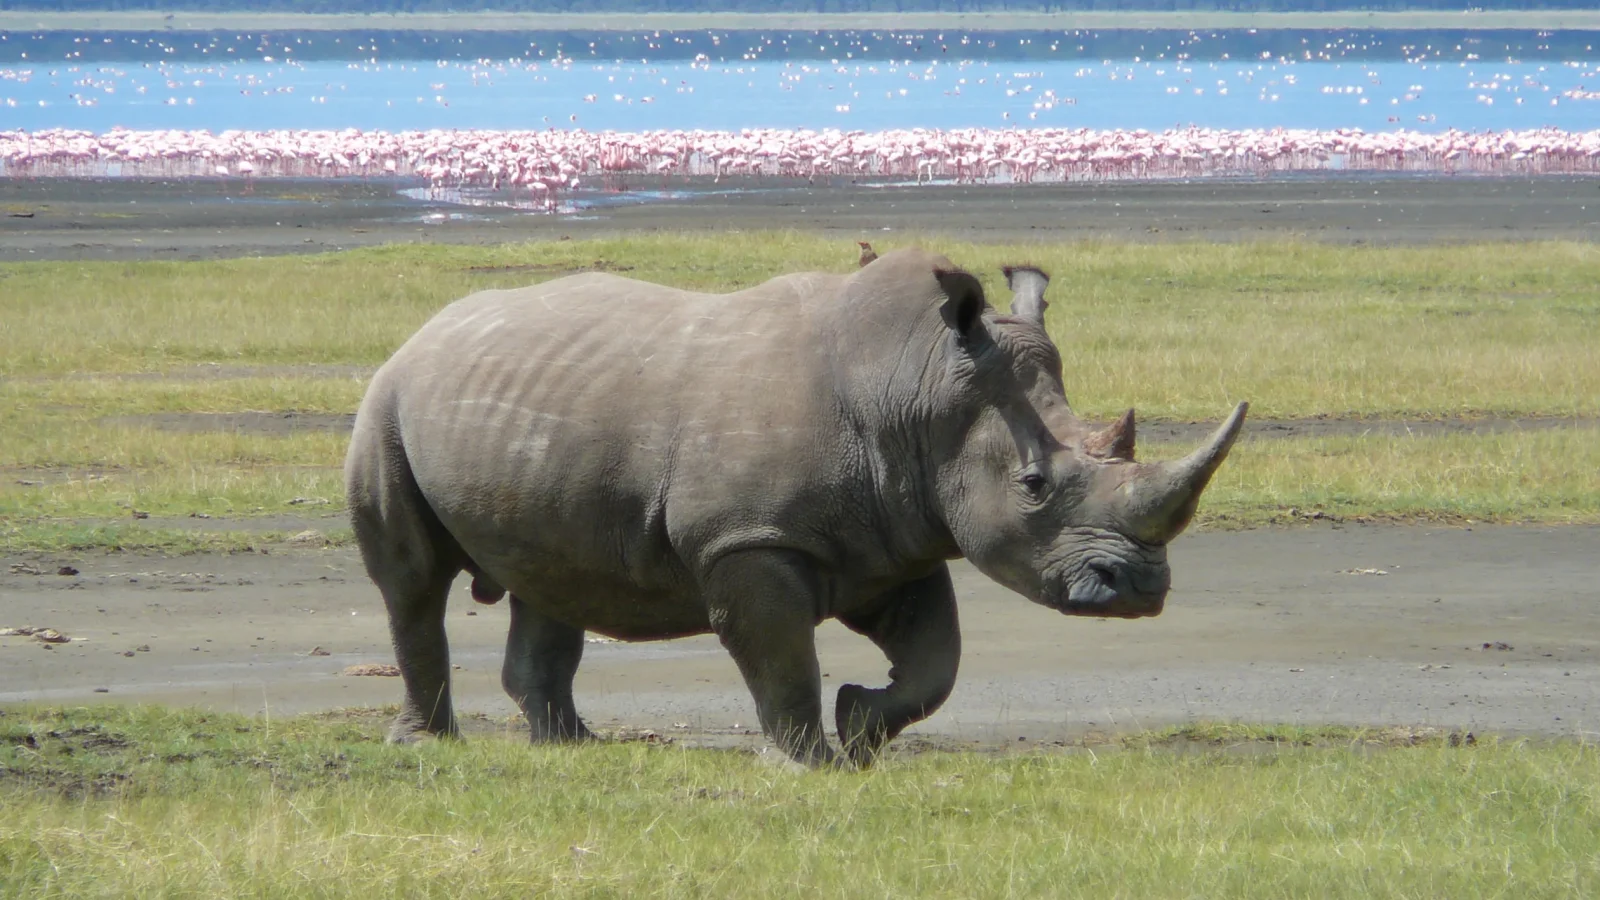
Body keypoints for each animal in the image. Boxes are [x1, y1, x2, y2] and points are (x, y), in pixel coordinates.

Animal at [346, 248, 1247, 767]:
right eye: (1033, 487)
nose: (1140, 590)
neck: (916, 387)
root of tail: (426, 331)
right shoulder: (750, 540)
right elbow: (781, 659)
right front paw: (808, 764)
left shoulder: (896, 535)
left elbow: (937, 662)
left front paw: (860, 728)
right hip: (386, 402)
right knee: (413, 583)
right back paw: (429, 746)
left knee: (550, 576)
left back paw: (572, 750)